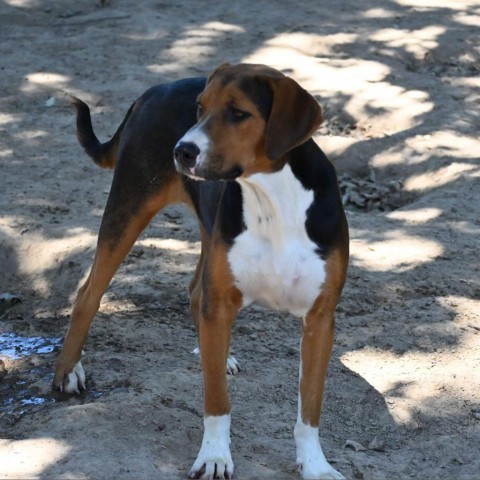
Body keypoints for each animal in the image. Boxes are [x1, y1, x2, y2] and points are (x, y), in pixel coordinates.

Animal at [53, 63, 348, 480]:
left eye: (238, 113)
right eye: (200, 108)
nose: (182, 150)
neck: (274, 201)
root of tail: (154, 89)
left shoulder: (320, 319)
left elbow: (310, 406)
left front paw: (316, 465)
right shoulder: (221, 302)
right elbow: (217, 402)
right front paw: (215, 457)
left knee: (194, 291)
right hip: (128, 211)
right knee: (88, 295)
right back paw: (67, 371)